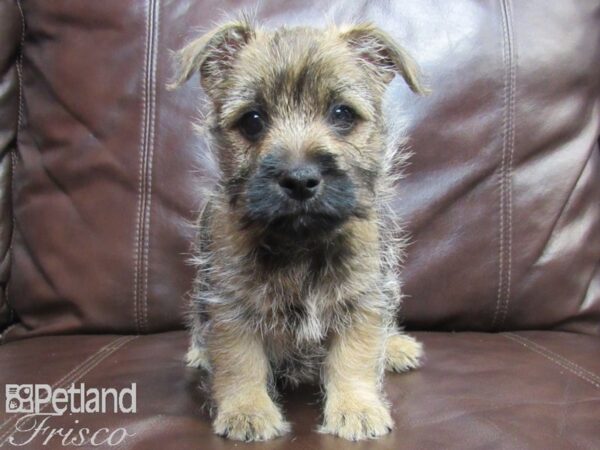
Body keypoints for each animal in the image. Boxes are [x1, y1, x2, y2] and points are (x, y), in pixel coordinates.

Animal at [171, 18, 426, 442]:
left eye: (342, 114)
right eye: (252, 120)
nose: (300, 179)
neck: (301, 243)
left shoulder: (363, 299)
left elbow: (354, 358)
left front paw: (356, 408)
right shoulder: (229, 305)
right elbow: (240, 361)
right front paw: (247, 410)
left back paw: (394, 346)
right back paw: (200, 352)